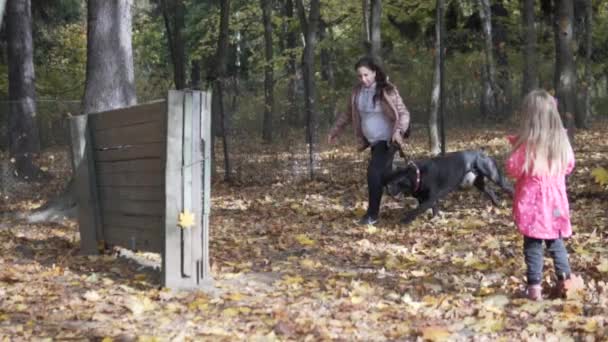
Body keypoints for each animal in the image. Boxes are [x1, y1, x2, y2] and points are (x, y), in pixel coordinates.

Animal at [384, 150, 512, 224]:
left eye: (396, 182)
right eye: (388, 179)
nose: (387, 189)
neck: (418, 175)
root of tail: (483, 153)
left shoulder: (429, 199)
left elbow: (416, 210)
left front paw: (404, 220)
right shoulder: (425, 199)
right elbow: (432, 209)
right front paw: (435, 219)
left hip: (494, 175)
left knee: (508, 186)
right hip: (479, 183)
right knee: (490, 191)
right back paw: (497, 204)